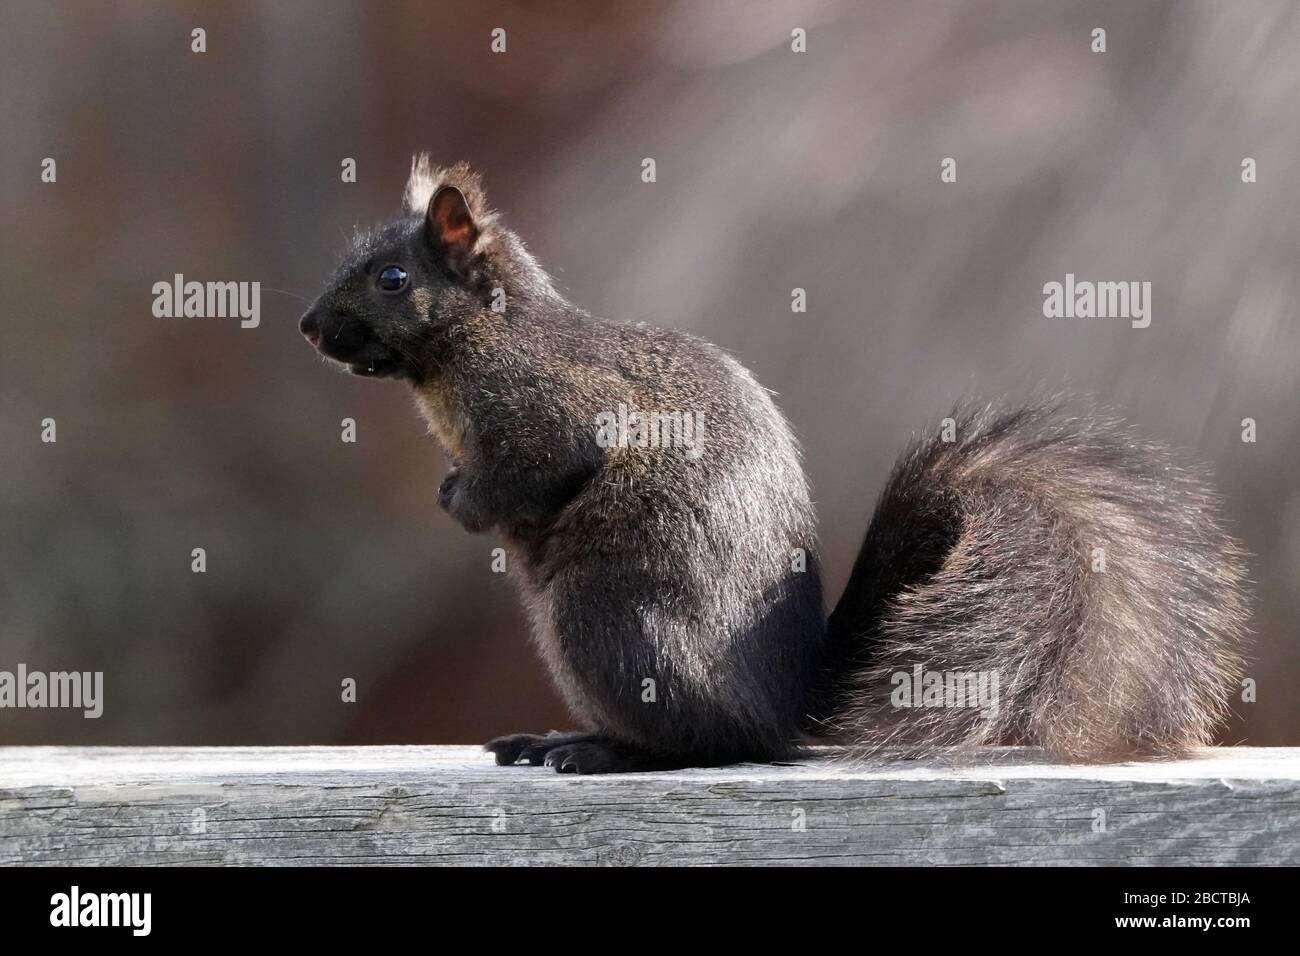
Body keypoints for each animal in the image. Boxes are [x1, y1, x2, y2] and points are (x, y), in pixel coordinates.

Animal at [299, 156, 1250, 773]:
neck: (476, 342)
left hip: (608, 622)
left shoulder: (553, 407)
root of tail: (788, 707)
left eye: (392, 278)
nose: (309, 327)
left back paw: (601, 751)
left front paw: (462, 499)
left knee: (709, 746)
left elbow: (539, 466)